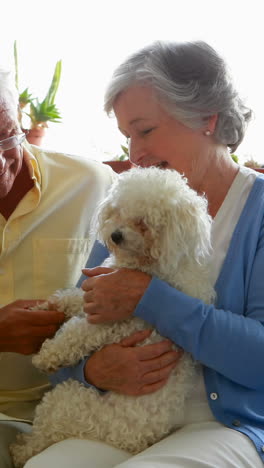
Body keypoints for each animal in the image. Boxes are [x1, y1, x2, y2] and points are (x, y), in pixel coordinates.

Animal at [11, 166, 216, 466]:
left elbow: (75, 333)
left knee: (42, 436)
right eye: (118, 211)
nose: (116, 235)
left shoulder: (115, 321)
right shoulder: (95, 291)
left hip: (68, 401)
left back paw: (20, 448)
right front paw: (44, 307)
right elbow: (72, 297)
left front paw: (47, 356)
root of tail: (132, 443)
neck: (147, 264)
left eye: (143, 223)